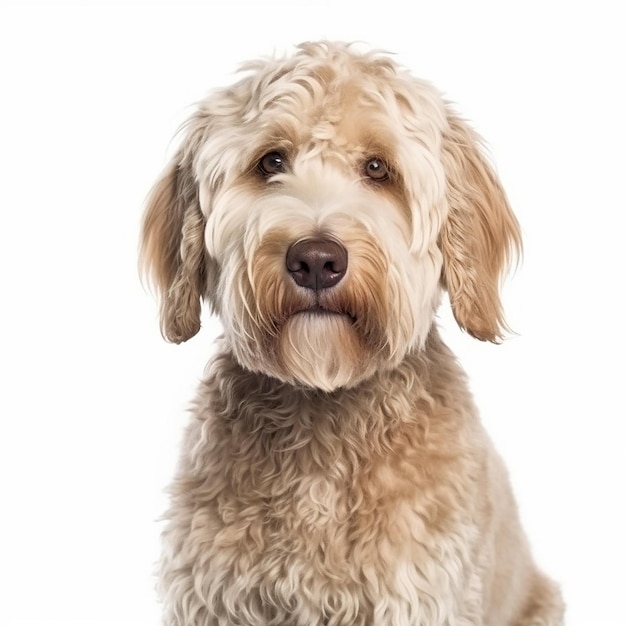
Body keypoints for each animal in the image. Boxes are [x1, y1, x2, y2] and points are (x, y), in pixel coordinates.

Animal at [140, 41, 560, 620]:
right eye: (271, 161)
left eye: (378, 168)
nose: (316, 260)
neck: (324, 410)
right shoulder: (213, 596)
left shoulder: (418, 596)